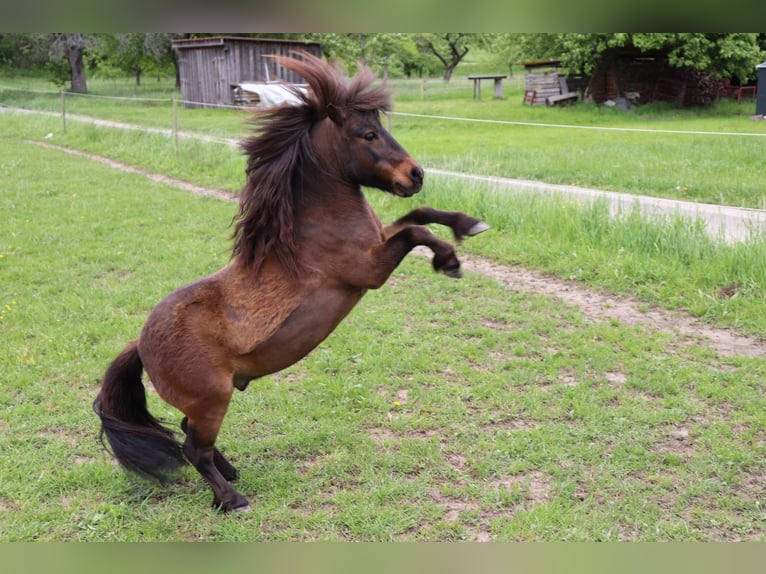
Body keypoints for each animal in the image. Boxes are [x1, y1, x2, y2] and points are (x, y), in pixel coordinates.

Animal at [93, 51, 488, 516]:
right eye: (368, 133)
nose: (416, 175)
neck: (313, 228)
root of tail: (140, 344)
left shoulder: (379, 240)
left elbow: (420, 216)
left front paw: (468, 224)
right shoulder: (369, 270)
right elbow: (416, 232)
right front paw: (449, 261)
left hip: (208, 402)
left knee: (189, 432)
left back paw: (231, 473)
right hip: (213, 399)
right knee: (194, 448)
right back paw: (231, 499)